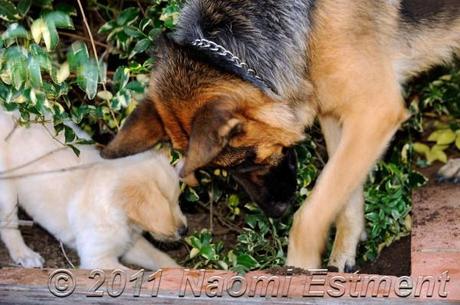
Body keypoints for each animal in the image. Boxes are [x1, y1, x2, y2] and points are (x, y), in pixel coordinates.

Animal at [0, 110, 187, 268]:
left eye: (177, 201)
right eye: (165, 204)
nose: (185, 230)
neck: (120, 216)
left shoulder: (131, 245)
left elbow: (161, 258)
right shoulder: (98, 259)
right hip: (6, 192)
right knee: (8, 226)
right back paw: (25, 254)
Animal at [102, 0, 460, 270]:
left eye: (247, 159)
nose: (275, 213)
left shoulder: (375, 111)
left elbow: (312, 212)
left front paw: (298, 271)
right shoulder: (337, 114)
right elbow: (345, 196)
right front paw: (345, 252)